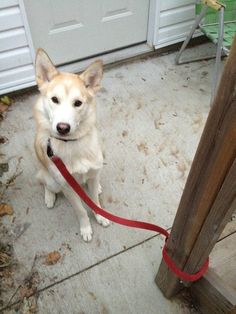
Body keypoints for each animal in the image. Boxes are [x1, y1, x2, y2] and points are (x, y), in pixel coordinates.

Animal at [33, 48, 109, 243]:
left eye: (78, 103)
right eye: (54, 99)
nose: (62, 128)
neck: (73, 145)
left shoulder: (93, 171)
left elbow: (95, 202)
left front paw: (100, 215)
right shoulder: (67, 187)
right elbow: (81, 210)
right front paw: (86, 228)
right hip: (51, 180)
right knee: (46, 184)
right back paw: (49, 197)